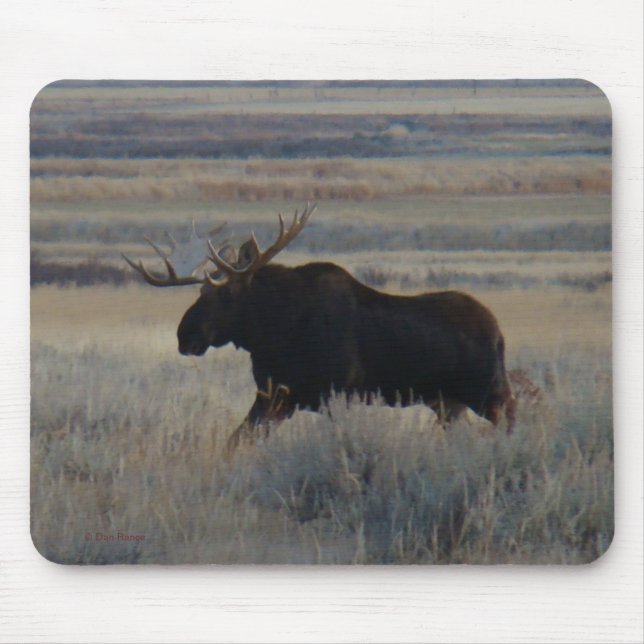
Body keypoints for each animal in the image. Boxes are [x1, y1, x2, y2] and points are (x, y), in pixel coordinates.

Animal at [123, 204, 516, 452]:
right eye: (201, 291)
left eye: (227, 293)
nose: (185, 336)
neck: (272, 336)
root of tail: (499, 332)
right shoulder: (275, 397)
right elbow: (236, 440)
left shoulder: (334, 394)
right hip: (448, 404)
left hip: (489, 392)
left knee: (514, 421)